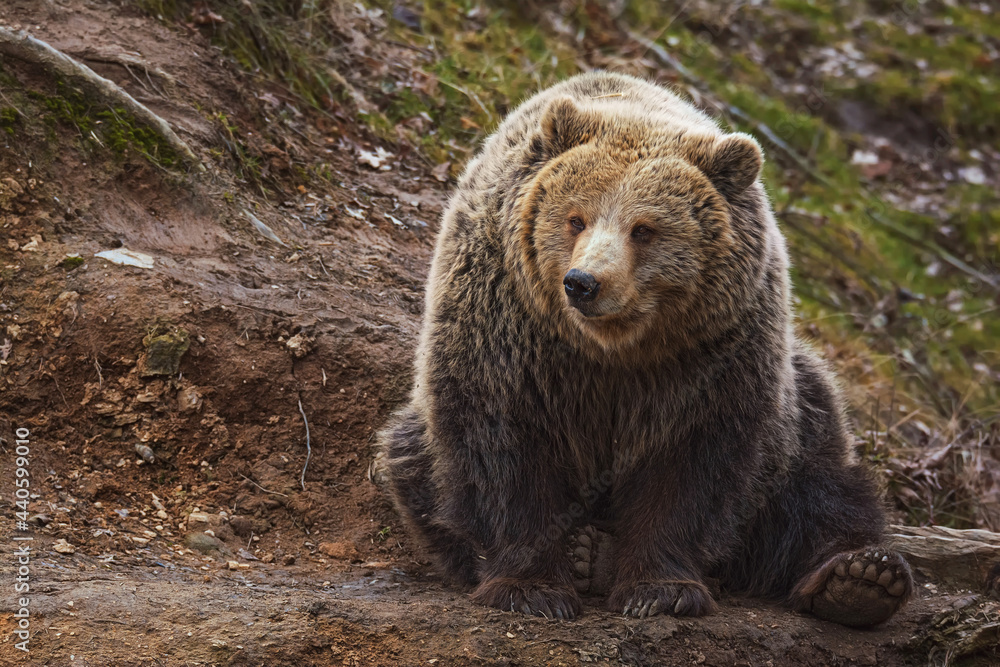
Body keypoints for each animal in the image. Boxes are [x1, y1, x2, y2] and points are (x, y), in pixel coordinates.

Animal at [379, 71, 913, 627]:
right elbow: (505, 450)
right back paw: (584, 552)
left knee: (819, 485)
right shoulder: (509, 335)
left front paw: (661, 590)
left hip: (797, 414)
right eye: (576, 218)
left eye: (645, 229)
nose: (583, 283)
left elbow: (688, 466)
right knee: (412, 460)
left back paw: (860, 578)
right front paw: (531, 589)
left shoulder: (709, 358)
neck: (613, 347)